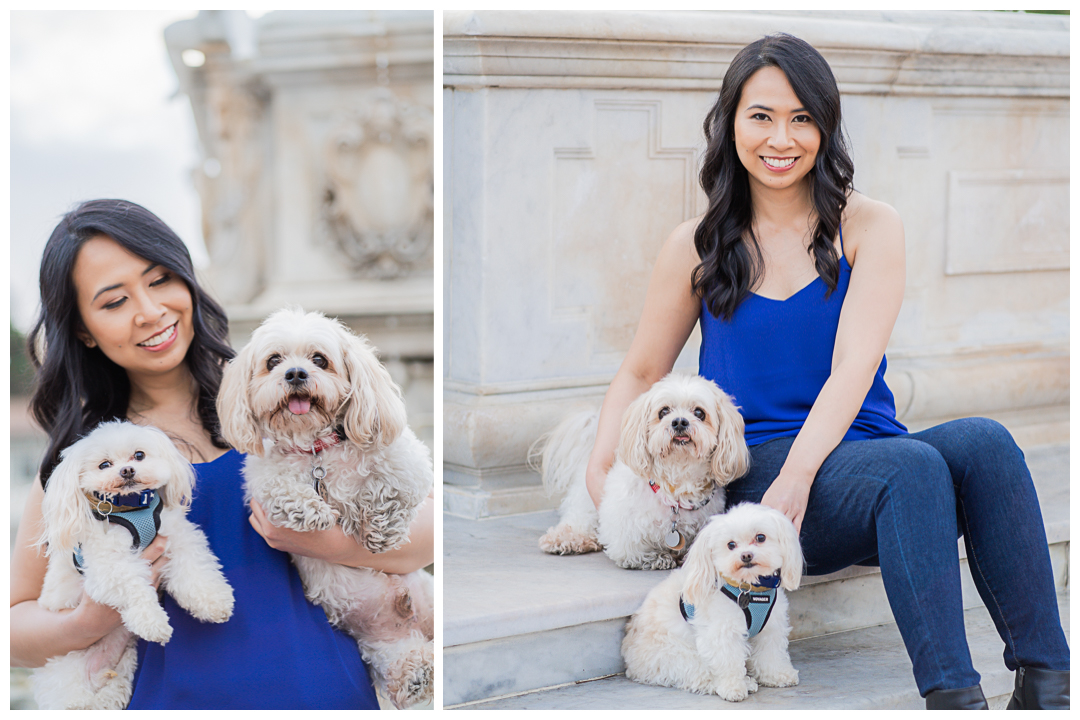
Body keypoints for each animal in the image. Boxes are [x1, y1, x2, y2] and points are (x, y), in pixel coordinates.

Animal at [32, 423, 235, 708]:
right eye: (104, 464)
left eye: (139, 455)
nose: (127, 470)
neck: (132, 509)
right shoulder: (109, 565)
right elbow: (134, 587)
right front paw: (154, 622)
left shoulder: (179, 537)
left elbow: (195, 568)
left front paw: (213, 601)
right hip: (69, 681)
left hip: (122, 670)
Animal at [217, 306, 436, 708]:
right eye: (273, 361)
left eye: (319, 359)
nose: (295, 373)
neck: (317, 449)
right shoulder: (262, 480)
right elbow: (281, 491)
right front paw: (313, 511)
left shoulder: (406, 461)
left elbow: (391, 489)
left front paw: (379, 530)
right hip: (382, 644)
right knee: (406, 661)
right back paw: (417, 672)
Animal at [531, 375, 751, 569]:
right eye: (663, 411)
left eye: (699, 413)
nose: (679, 422)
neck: (677, 484)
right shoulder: (623, 532)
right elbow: (634, 550)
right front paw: (658, 558)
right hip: (586, 503)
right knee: (579, 520)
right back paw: (566, 538)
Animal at [626, 505, 803, 699]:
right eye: (731, 545)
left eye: (761, 537)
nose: (746, 555)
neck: (749, 588)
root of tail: (631, 664)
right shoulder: (722, 632)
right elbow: (728, 661)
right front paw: (733, 687)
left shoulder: (771, 627)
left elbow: (771, 654)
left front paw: (778, 675)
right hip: (678, 655)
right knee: (699, 675)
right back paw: (743, 683)